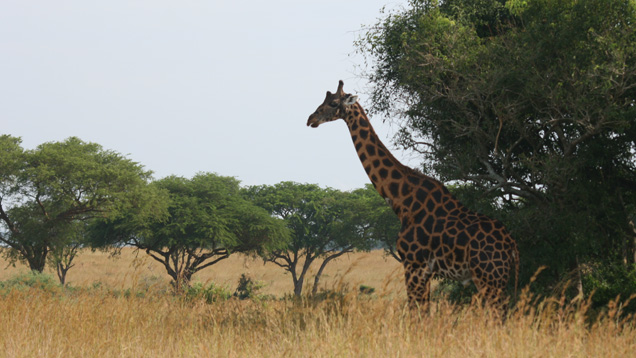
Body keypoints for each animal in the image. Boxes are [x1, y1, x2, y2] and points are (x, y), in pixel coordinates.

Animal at [306, 80, 520, 308]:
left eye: (333, 103)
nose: (311, 119)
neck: (402, 201)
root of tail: (512, 246)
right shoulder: (422, 269)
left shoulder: (414, 263)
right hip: (496, 279)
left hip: (489, 278)